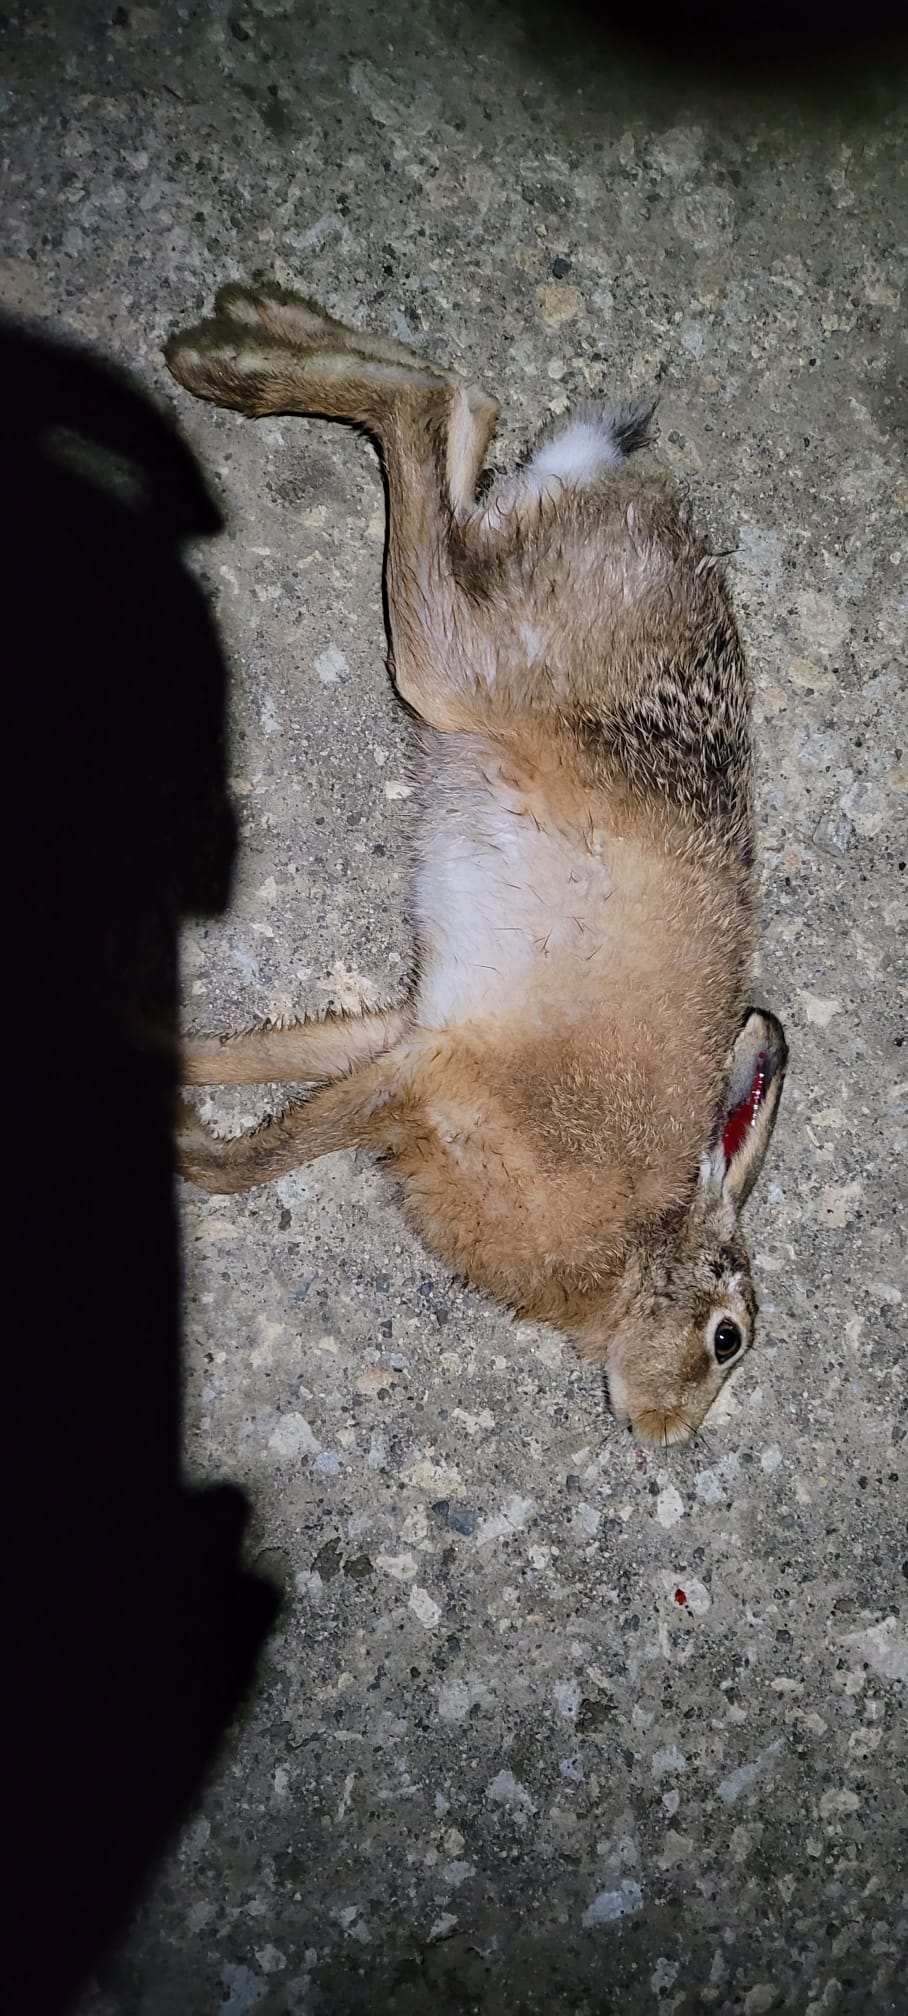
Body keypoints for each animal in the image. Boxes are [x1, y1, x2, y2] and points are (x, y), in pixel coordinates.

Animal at [165, 282, 788, 1447]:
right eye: (725, 1337)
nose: (665, 1436)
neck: (632, 1248)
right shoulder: (436, 1083)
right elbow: (256, 1162)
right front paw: (188, 1146)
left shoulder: (403, 1036)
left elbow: (256, 1063)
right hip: (453, 666)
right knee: (431, 418)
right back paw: (224, 362)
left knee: (468, 422)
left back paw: (260, 316)